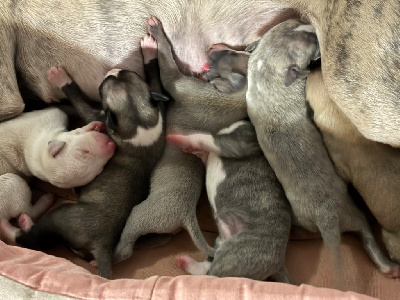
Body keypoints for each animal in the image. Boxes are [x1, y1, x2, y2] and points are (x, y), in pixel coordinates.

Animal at [15, 35, 169, 278]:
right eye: (131, 75)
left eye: (103, 89)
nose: (114, 70)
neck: (139, 125)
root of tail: (102, 245)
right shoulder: (159, 106)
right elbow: (156, 79)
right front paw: (150, 50)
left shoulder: (96, 116)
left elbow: (79, 102)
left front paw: (61, 79)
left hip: (62, 217)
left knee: (33, 238)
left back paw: (24, 223)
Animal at [112, 17, 248, 264]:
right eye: (243, 50)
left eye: (229, 55)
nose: (214, 46)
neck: (237, 97)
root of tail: (186, 216)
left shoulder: (175, 82)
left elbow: (166, 64)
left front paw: (155, 37)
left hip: (142, 214)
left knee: (128, 243)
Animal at [168, 120, 290, 284]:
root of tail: (279, 264)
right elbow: (205, 151)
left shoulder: (240, 142)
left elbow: (204, 138)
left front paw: (177, 137)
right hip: (221, 242)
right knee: (207, 266)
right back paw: (184, 261)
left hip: (237, 254)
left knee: (212, 275)